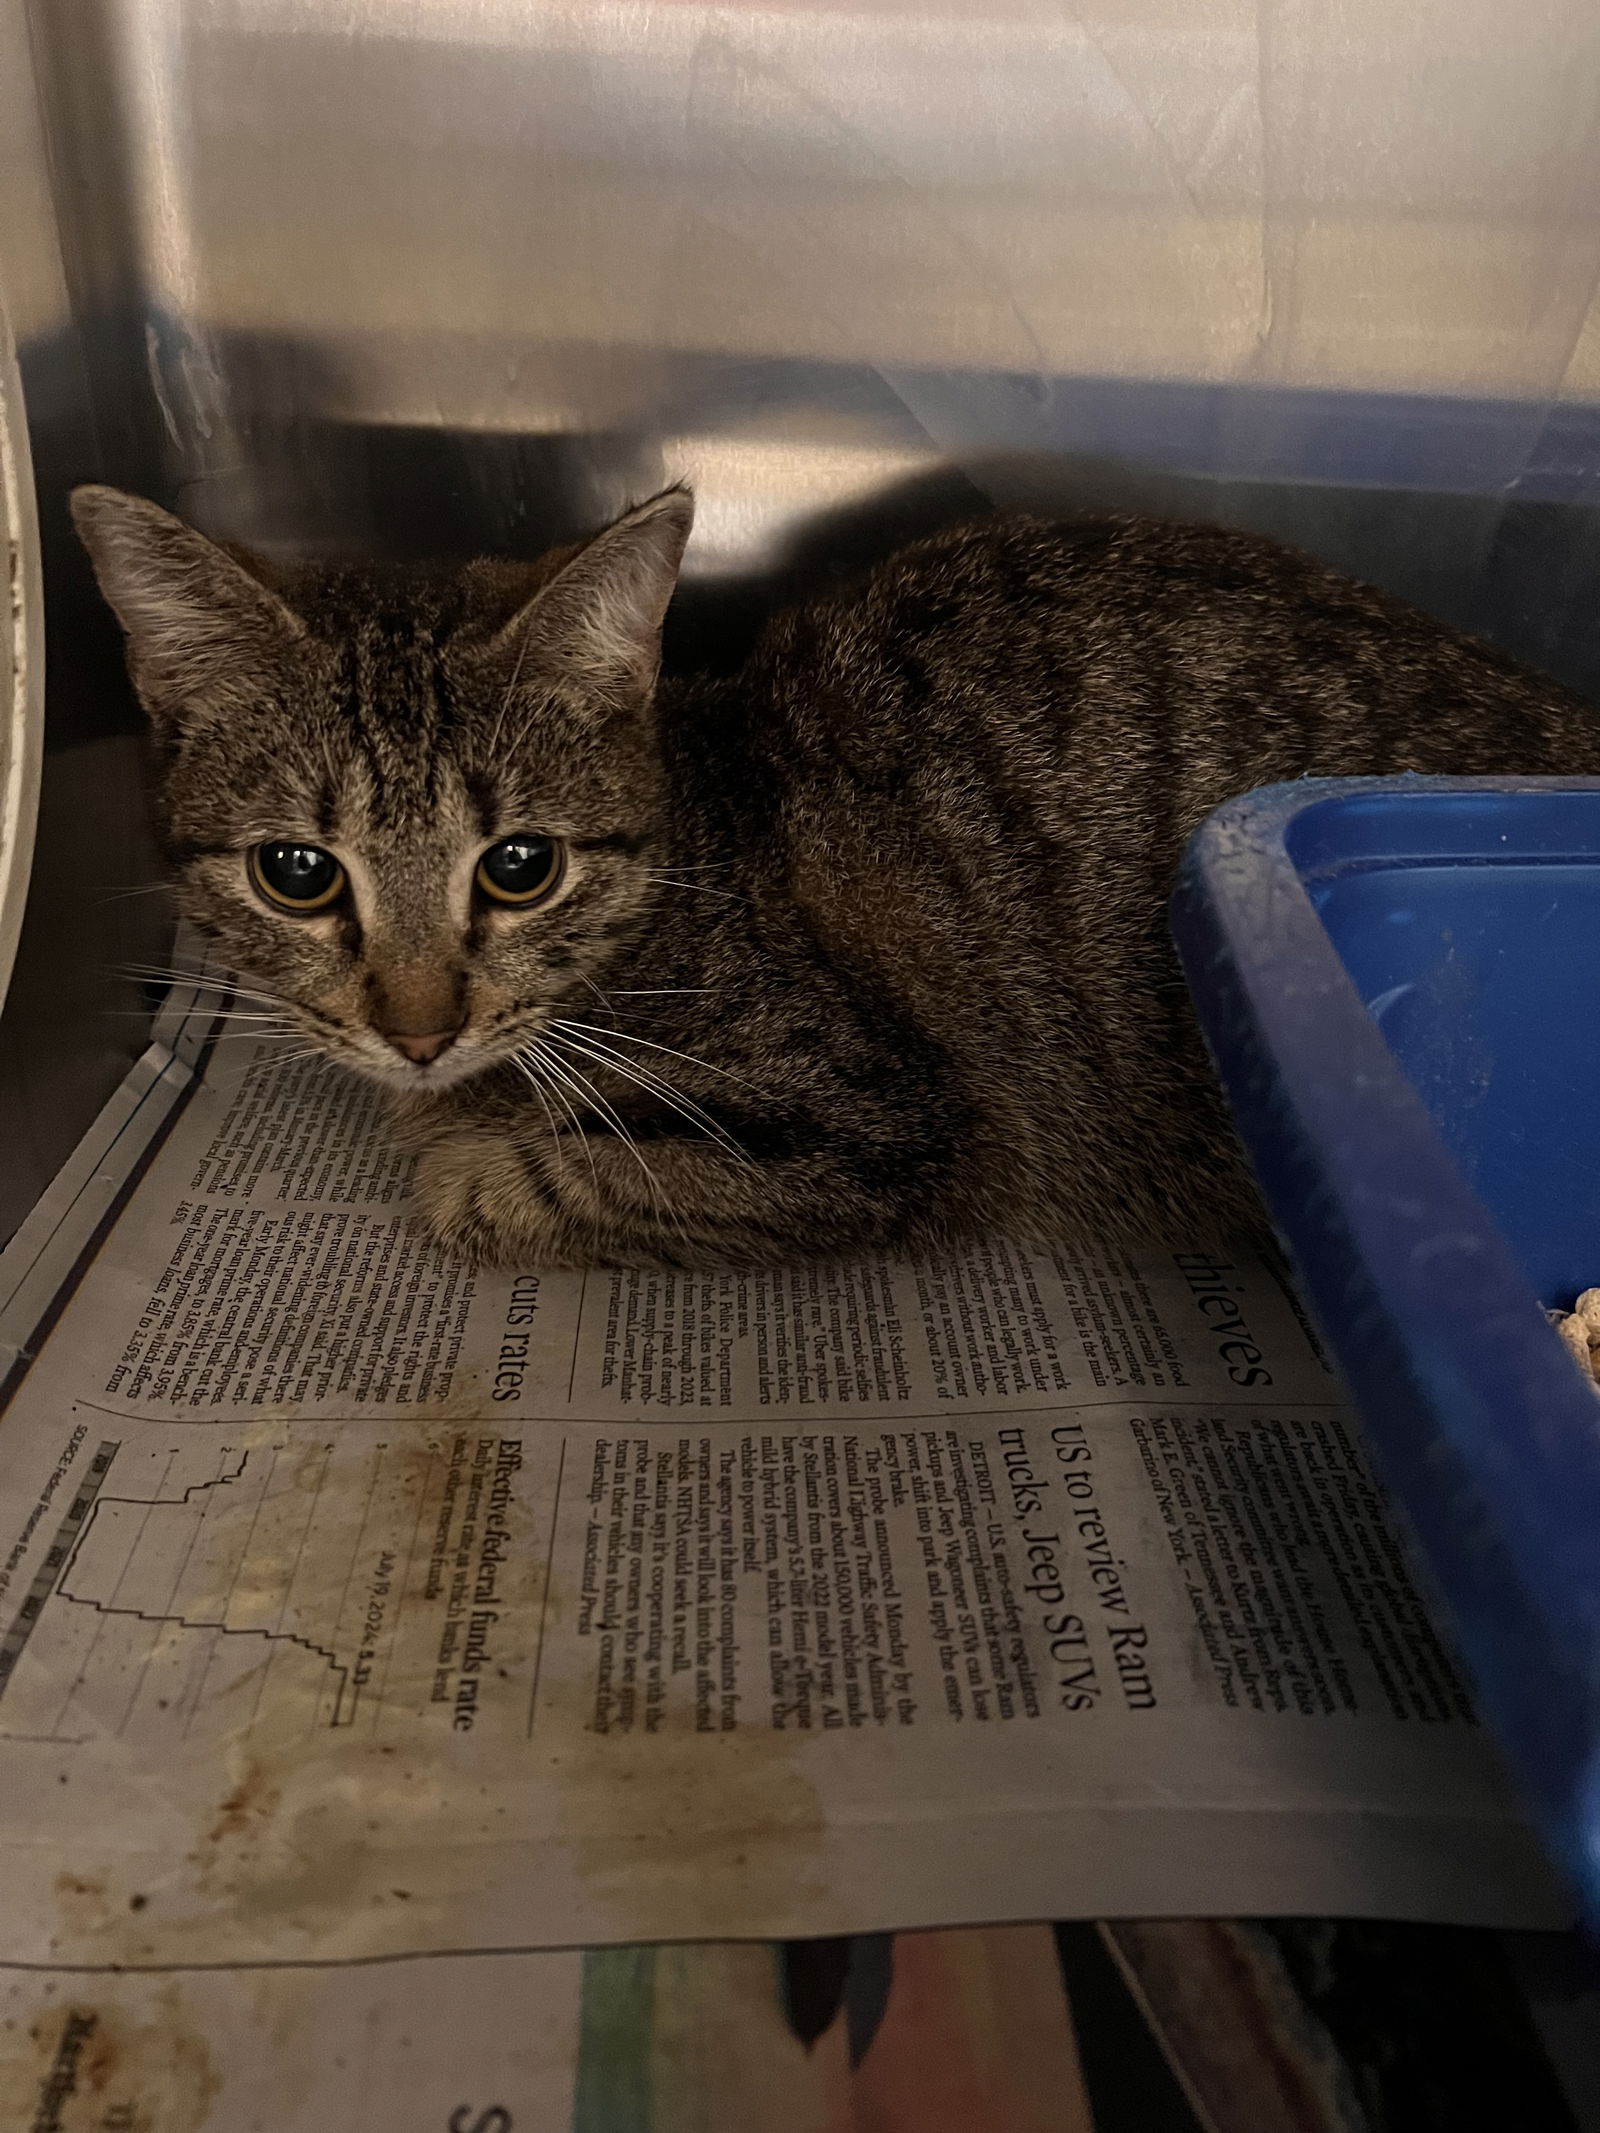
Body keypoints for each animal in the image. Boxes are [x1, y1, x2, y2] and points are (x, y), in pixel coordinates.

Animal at [72, 486, 1600, 1271]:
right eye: (296, 872)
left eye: (518, 866)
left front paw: (476, 1164)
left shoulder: (894, 1121)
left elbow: (606, 1164)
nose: (415, 1028)